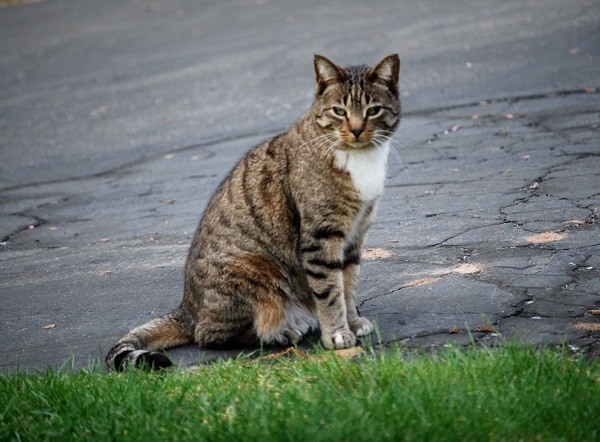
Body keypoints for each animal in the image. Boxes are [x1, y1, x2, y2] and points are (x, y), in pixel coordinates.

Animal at [105, 53, 400, 370]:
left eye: (373, 110)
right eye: (339, 111)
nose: (356, 130)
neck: (358, 158)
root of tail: (187, 309)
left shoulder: (355, 235)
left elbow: (348, 284)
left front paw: (353, 321)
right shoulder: (321, 238)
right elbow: (331, 291)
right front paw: (337, 334)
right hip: (257, 269)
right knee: (209, 336)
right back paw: (283, 332)